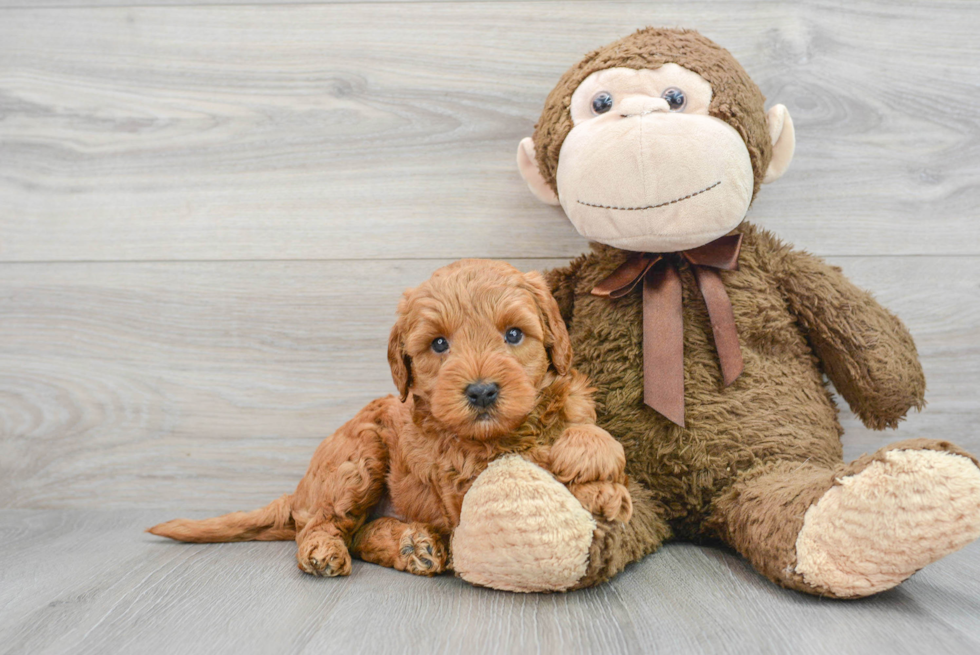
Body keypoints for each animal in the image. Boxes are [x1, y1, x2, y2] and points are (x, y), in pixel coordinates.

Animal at [149, 262, 632, 580]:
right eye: (439, 344)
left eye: (514, 334)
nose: (481, 392)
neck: (502, 431)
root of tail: (300, 492)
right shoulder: (463, 482)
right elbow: (531, 462)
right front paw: (591, 477)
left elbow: (581, 428)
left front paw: (597, 464)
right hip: (358, 458)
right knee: (322, 525)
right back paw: (330, 551)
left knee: (361, 533)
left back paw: (414, 546)